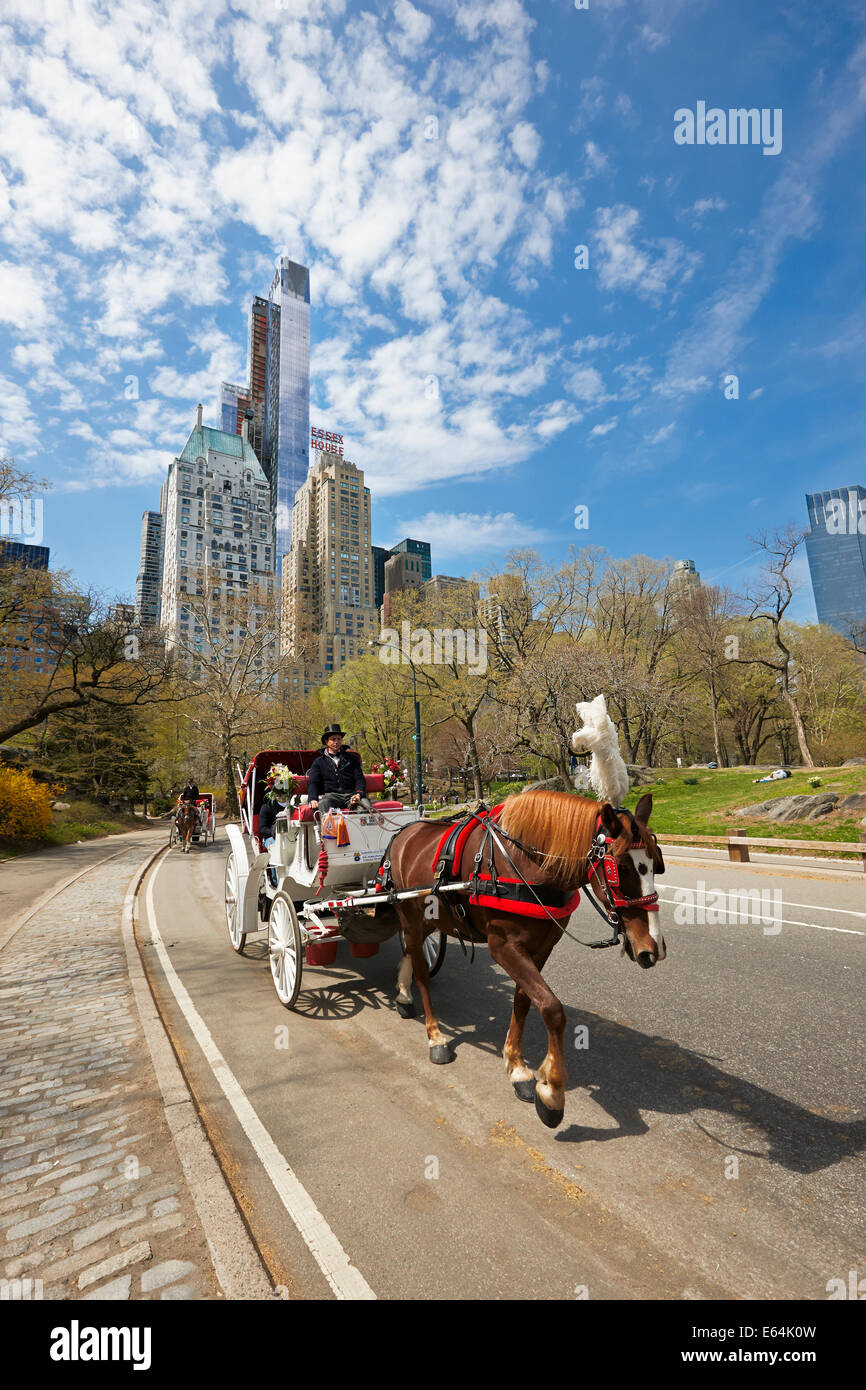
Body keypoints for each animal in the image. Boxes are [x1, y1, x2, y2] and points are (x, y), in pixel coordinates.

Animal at [388, 789, 666, 1130]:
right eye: (622, 868)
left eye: (657, 863)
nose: (652, 947)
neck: (526, 864)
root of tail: (405, 832)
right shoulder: (503, 946)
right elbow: (552, 1009)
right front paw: (552, 1091)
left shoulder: (541, 947)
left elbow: (524, 1001)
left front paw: (517, 1066)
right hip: (411, 917)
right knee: (422, 972)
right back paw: (435, 1036)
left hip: (430, 919)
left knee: (411, 953)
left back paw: (403, 994)